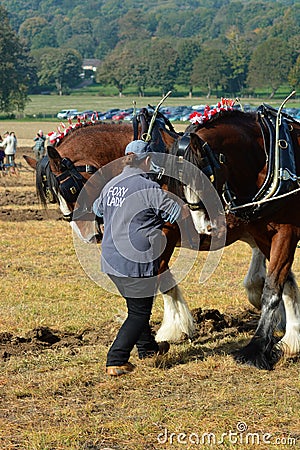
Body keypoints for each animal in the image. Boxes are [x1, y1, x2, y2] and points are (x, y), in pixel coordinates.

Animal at [162, 103, 300, 370]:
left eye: (207, 177)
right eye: (178, 183)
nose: (202, 227)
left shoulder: (288, 231)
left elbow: (272, 288)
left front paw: (256, 349)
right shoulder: (263, 234)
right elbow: (285, 282)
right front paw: (291, 338)